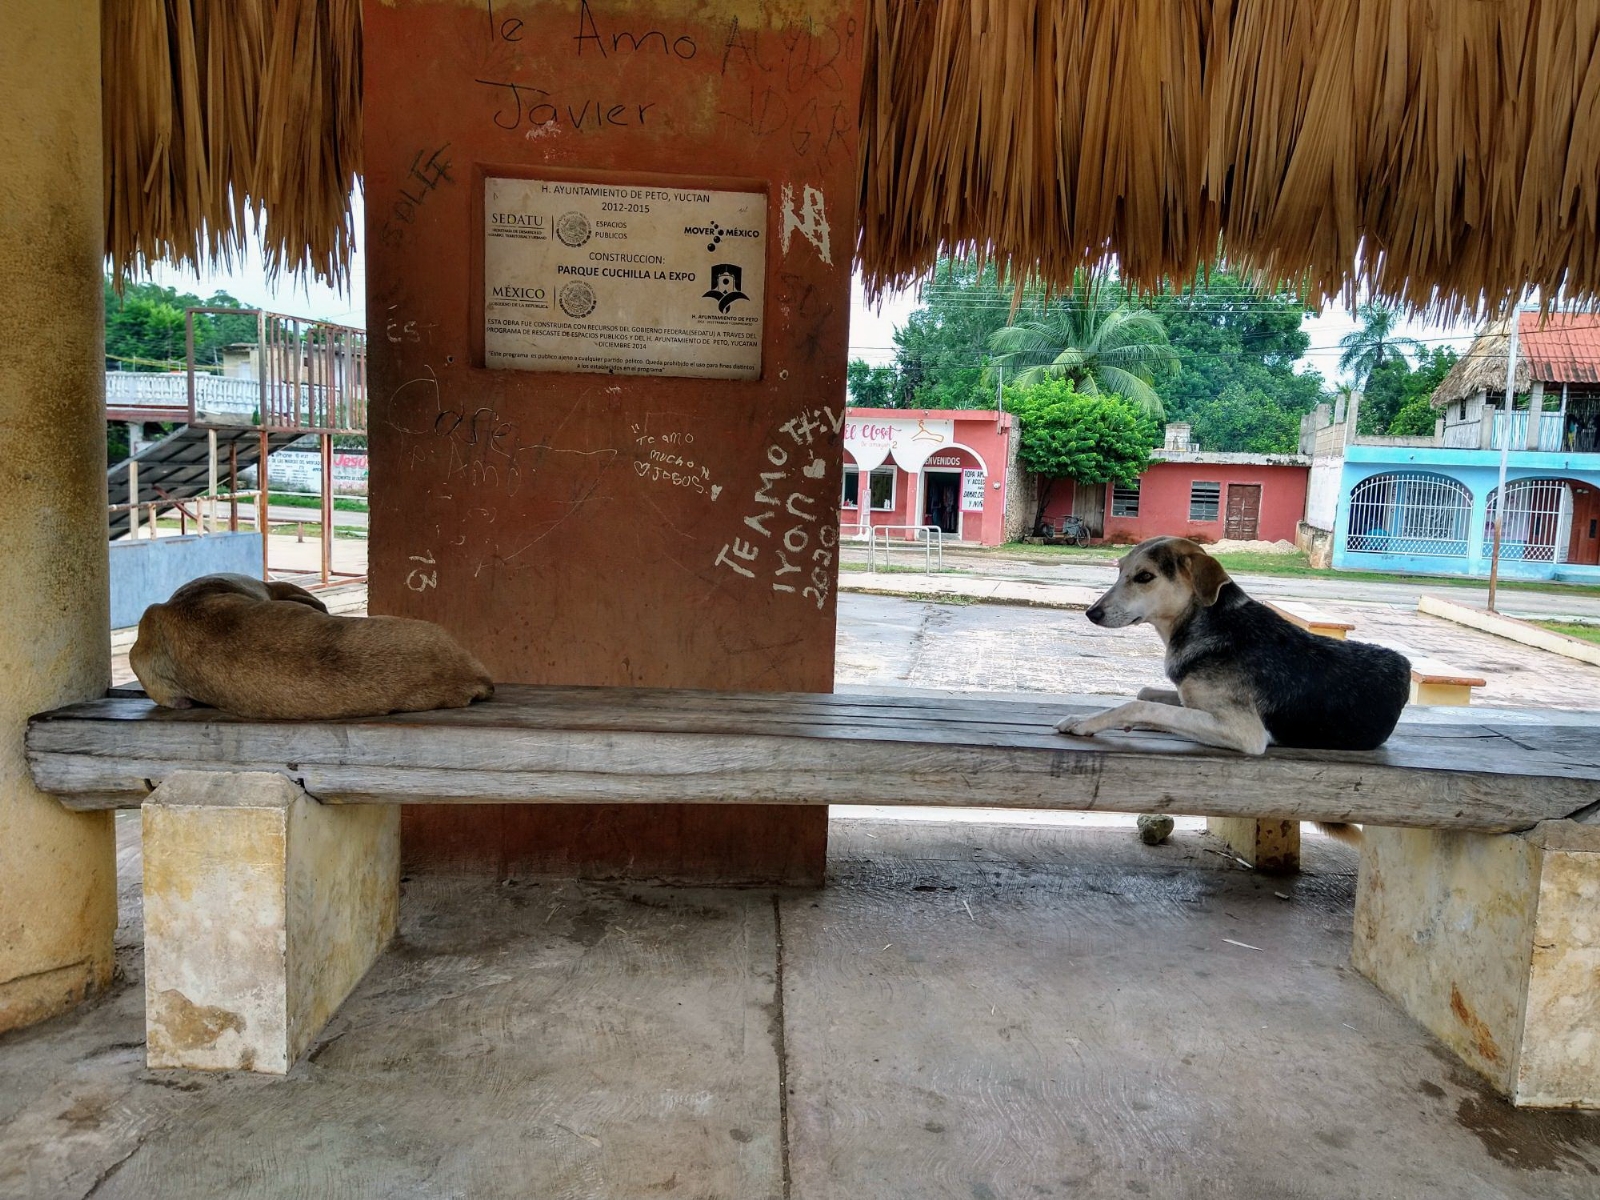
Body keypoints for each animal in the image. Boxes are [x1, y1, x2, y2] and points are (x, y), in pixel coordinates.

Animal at [1062, 537, 1414, 761]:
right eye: (1120, 570)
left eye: (1145, 576)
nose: (1091, 613)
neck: (1208, 623)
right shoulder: (1189, 701)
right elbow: (1146, 695)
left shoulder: (1243, 731)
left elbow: (1139, 706)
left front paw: (1084, 722)